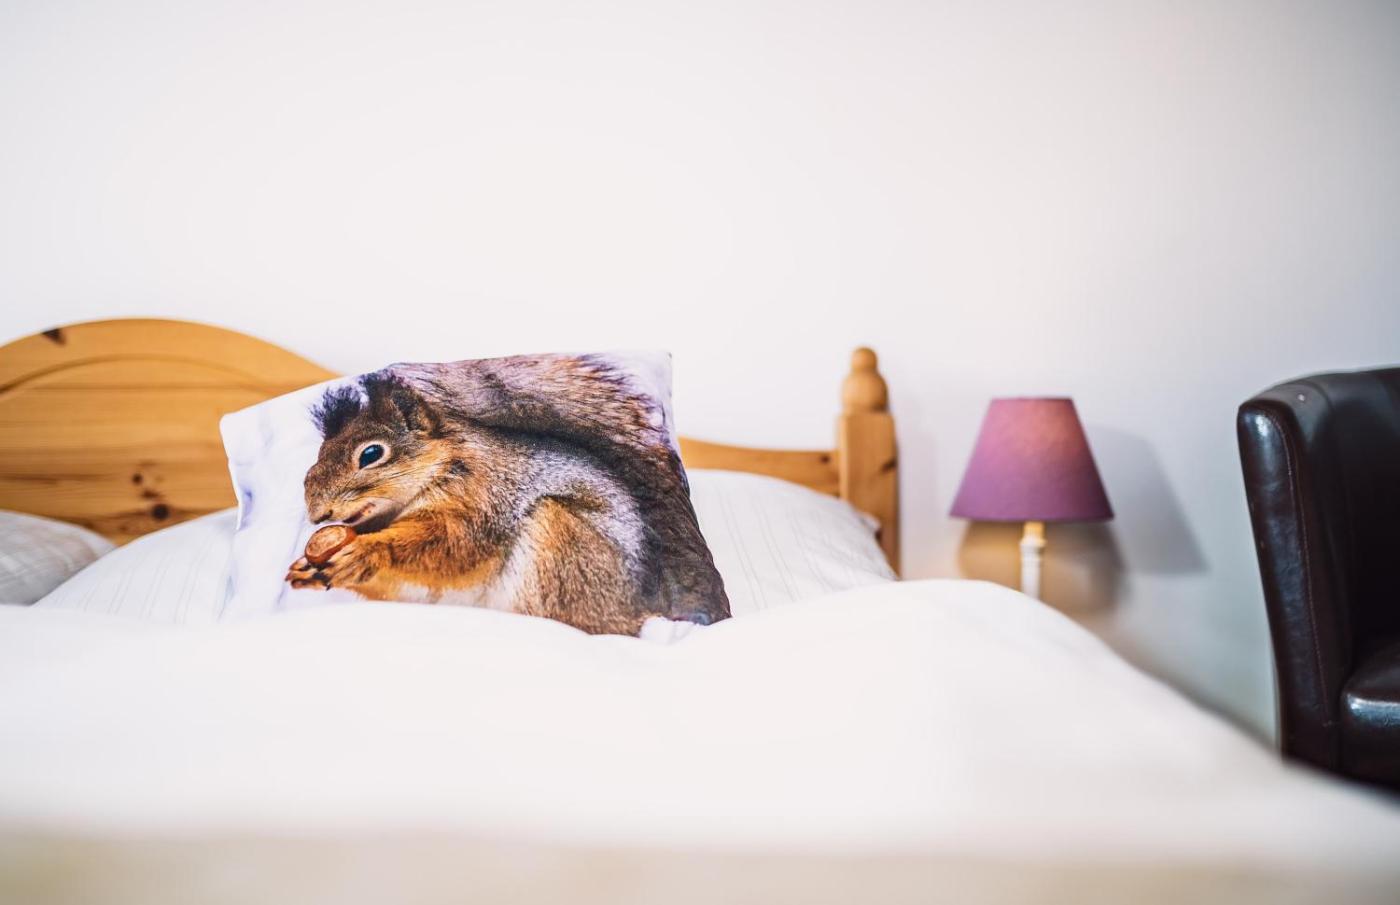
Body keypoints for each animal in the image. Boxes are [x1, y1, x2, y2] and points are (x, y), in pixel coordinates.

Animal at [284, 354, 730, 636]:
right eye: (317, 456)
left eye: (371, 454)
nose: (318, 513)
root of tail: (633, 614)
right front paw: (309, 568)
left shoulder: (487, 496)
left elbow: (451, 544)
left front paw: (365, 552)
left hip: (563, 545)